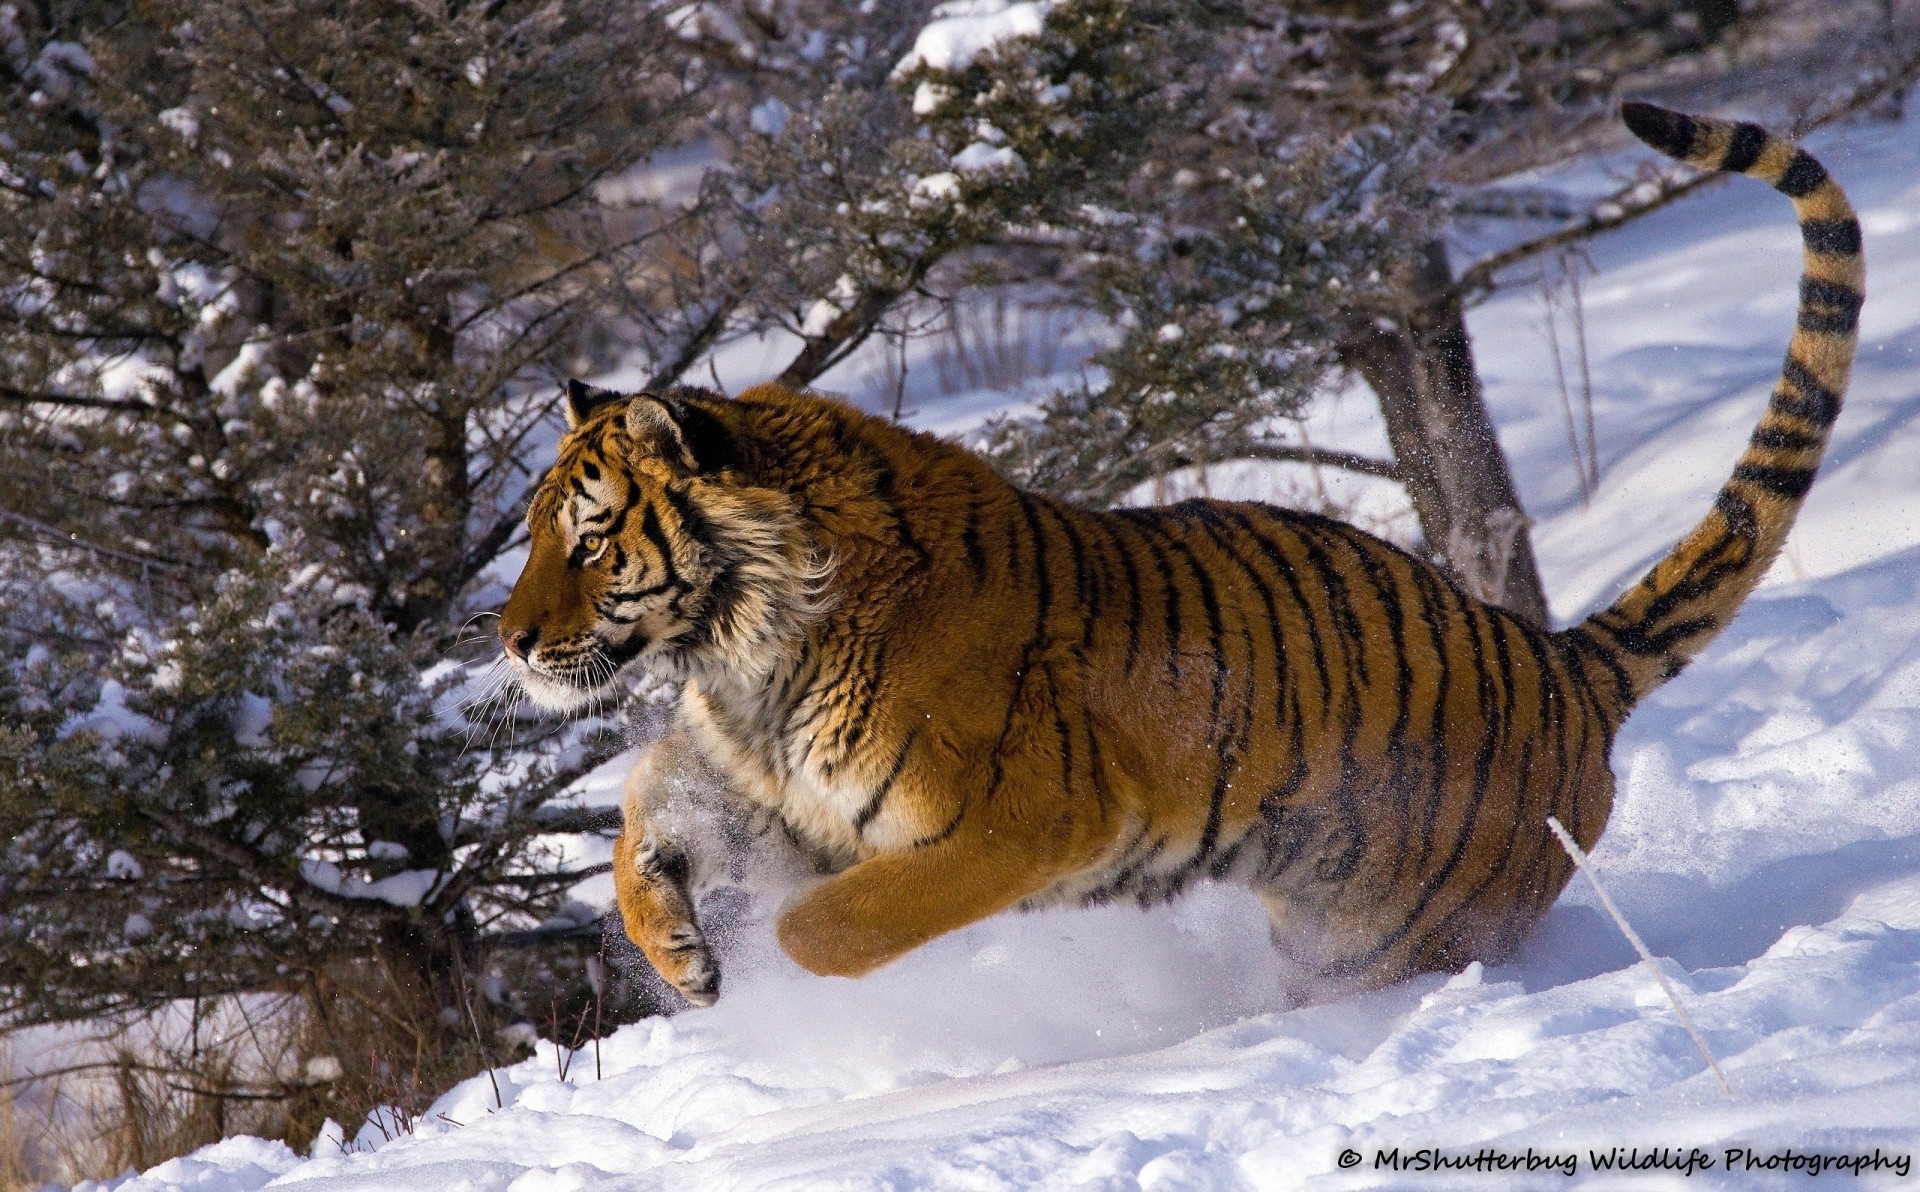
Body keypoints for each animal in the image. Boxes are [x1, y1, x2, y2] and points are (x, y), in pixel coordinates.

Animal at [498, 103, 1862, 1009]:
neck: (743, 645)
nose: (507, 643)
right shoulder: (767, 774)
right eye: (533, 534)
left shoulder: (1018, 820)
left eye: (591, 536)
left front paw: (774, 960)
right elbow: (644, 808)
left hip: (1387, 935)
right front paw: (678, 946)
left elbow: (827, 927)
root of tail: (1562, 658)